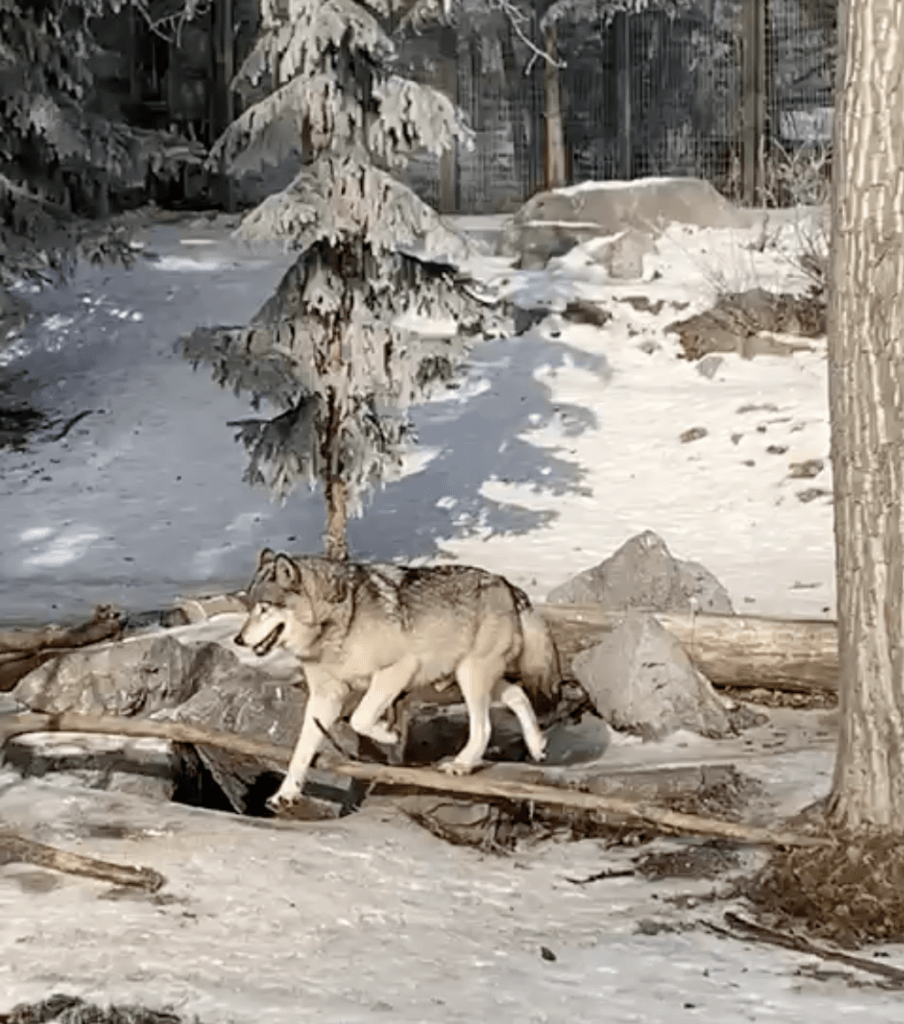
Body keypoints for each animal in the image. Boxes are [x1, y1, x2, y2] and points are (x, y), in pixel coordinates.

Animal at [233, 548, 556, 811]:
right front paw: (286, 794)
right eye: (249, 608)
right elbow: (301, 751)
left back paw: (462, 765)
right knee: (517, 694)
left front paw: (389, 735)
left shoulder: (397, 670)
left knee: (484, 726)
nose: (238, 639)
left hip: (469, 676)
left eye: (264, 608)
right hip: (466, 677)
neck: (338, 620)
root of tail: (508, 585)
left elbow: (360, 719)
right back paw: (537, 746)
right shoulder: (326, 697)